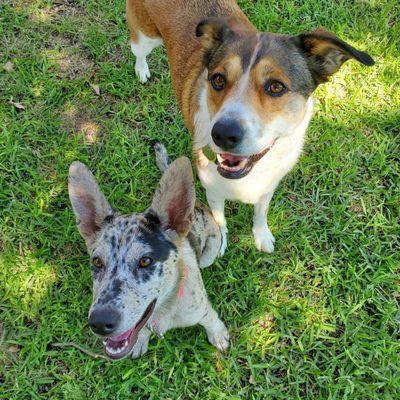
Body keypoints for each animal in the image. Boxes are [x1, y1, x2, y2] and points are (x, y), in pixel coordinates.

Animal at [69, 144, 228, 360]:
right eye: (97, 262)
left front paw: (218, 335)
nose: (100, 323)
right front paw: (140, 340)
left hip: (208, 256)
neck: (164, 310)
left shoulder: (202, 310)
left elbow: (212, 320)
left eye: (146, 261)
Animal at [126, 0, 376, 253]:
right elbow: (220, 220)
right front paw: (220, 242)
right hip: (144, 37)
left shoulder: (268, 187)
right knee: (138, 50)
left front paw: (261, 235)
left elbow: (261, 213)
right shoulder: (213, 192)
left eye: (276, 86)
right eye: (218, 79)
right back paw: (142, 70)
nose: (222, 134)